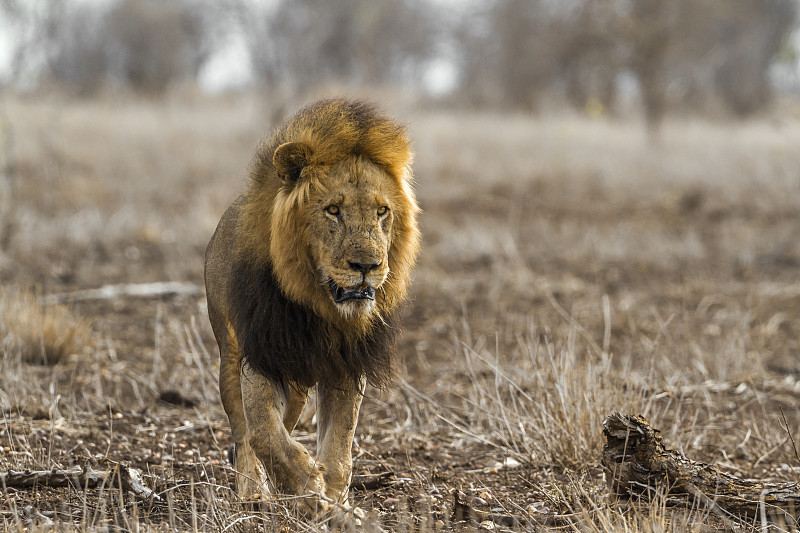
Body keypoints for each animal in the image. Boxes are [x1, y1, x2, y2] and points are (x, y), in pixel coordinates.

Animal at [203, 97, 422, 516]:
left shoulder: (346, 362)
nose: (367, 266)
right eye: (333, 210)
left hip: (300, 382)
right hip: (229, 353)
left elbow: (340, 442)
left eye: (382, 211)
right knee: (242, 430)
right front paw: (306, 485)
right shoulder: (261, 354)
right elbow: (263, 432)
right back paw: (252, 490)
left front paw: (334, 500)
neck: (320, 309)